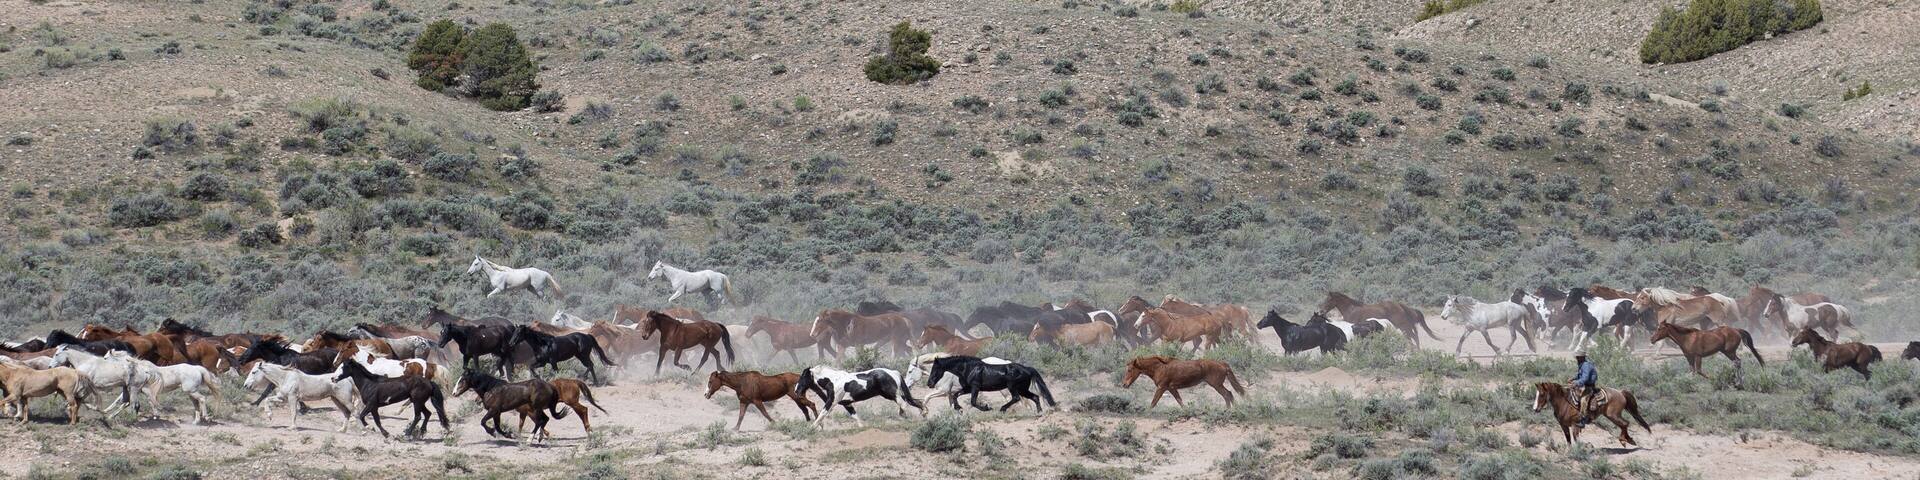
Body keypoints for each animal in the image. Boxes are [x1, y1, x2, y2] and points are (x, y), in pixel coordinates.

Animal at [925, 355, 1058, 413]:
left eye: (935, 369)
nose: (929, 383)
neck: (968, 368)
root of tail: (1027, 369)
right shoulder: (967, 388)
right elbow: (955, 395)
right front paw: (958, 408)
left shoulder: (975, 388)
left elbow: (973, 402)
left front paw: (986, 408)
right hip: (1022, 389)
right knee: (1035, 397)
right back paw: (1039, 412)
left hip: (1013, 387)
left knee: (1016, 398)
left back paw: (1002, 409)